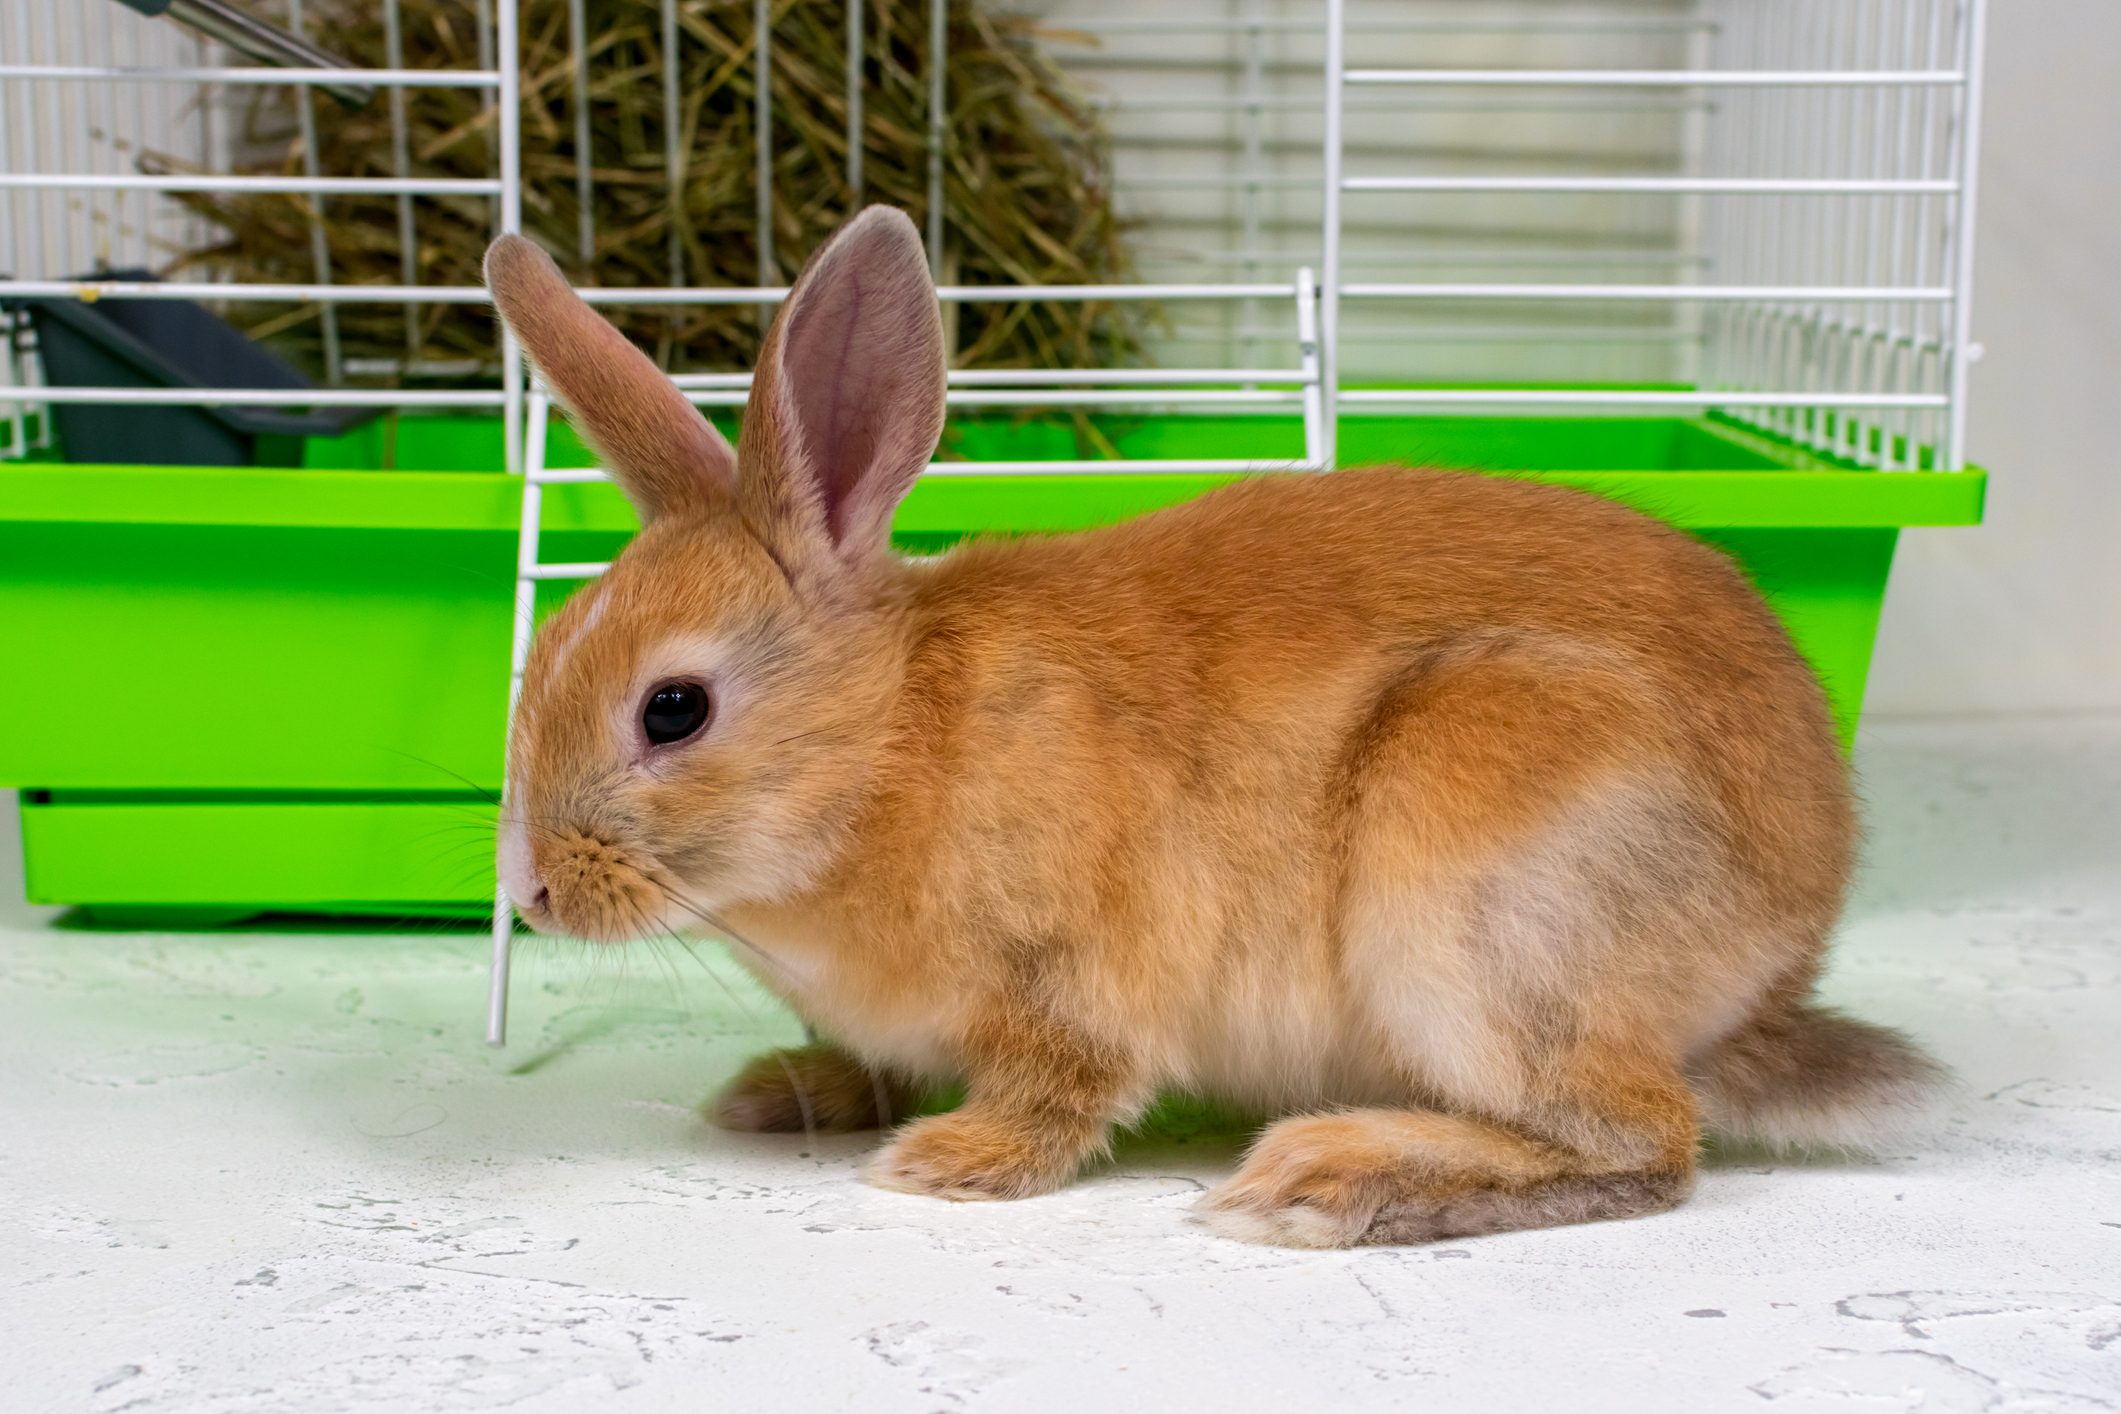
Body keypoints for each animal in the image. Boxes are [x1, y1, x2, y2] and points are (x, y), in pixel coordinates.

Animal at [484, 205, 1943, 1249]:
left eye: (674, 709)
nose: (532, 889)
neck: (891, 744)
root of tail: (1773, 963)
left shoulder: (1076, 984)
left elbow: (1061, 1091)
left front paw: (947, 1162)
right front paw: (786, 1093)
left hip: (1473, 897)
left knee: (1645, 1143)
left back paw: (1322, 1180)